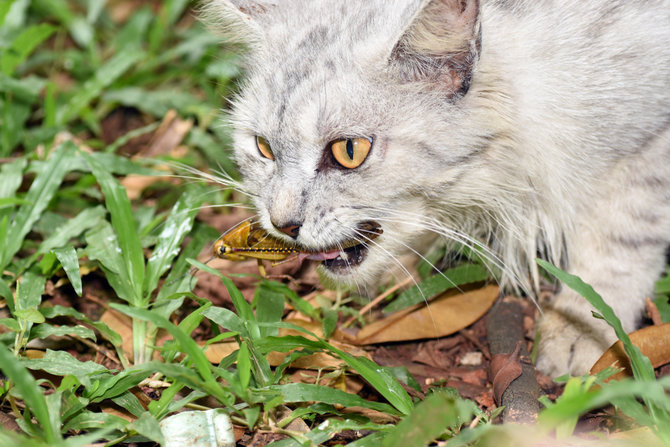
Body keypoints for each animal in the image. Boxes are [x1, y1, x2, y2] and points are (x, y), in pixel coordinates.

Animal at [203, 0, 670, 378]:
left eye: (349, 151)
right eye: (263, 148)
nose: (282, 224)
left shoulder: (647, 150)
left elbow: (618, 250)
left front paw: (586, 331)